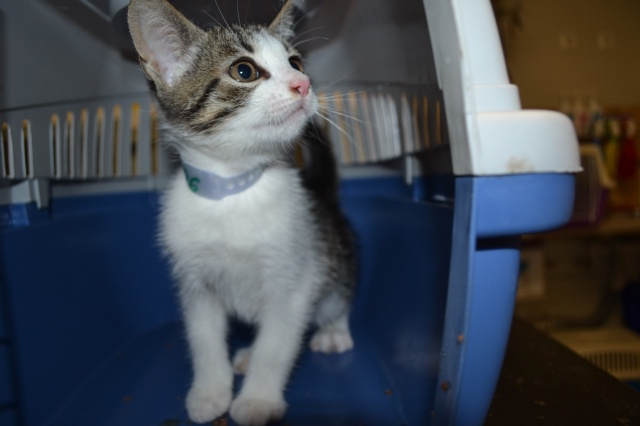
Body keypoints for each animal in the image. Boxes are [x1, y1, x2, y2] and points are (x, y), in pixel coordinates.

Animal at [127, 0, 357, 425]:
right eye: (244, 71)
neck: (232, 189)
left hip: (331, 256)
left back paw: (332, 331)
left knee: (338, 295)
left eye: (296, 62)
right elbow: (204, 340)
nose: (304, 84)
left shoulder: (294, 282)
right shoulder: (195, 284)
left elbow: (277, 344)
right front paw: (210, 393)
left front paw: (257, 401)